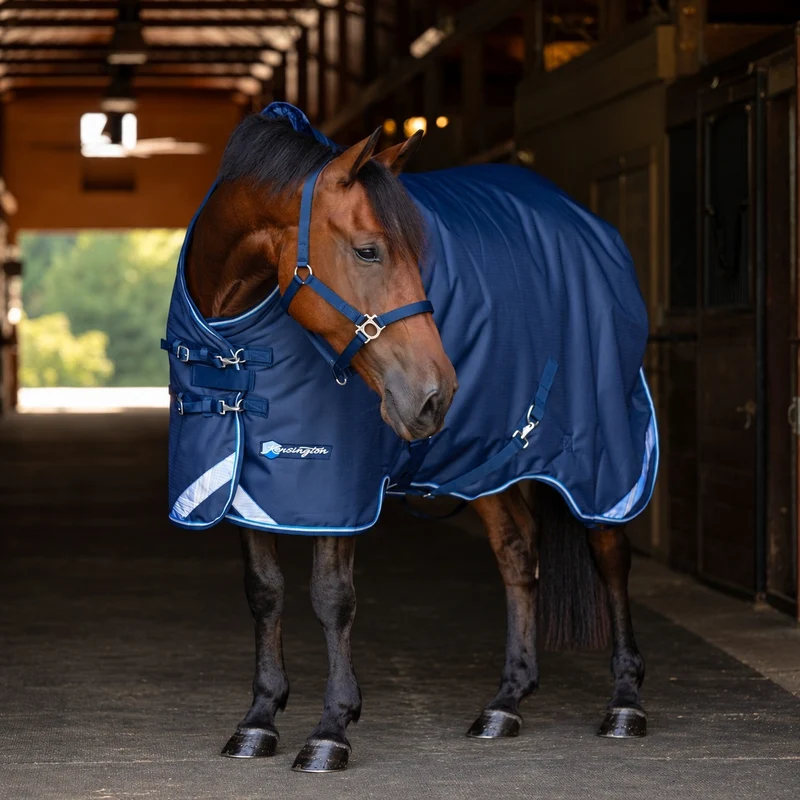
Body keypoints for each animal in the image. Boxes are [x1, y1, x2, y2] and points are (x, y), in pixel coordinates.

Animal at [167, 103, 652, 773]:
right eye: (369, 251)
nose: (436, 394)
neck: (233, 342)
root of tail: (584, 221)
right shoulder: (246, 479)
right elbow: (264, 592)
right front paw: (259, 719)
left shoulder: (340, 484)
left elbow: (332, 596)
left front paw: (331, 731)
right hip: (490, 460)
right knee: (517, 553)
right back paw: (506, 702)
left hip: (605, 453)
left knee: (610, 552)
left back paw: (625, 703)